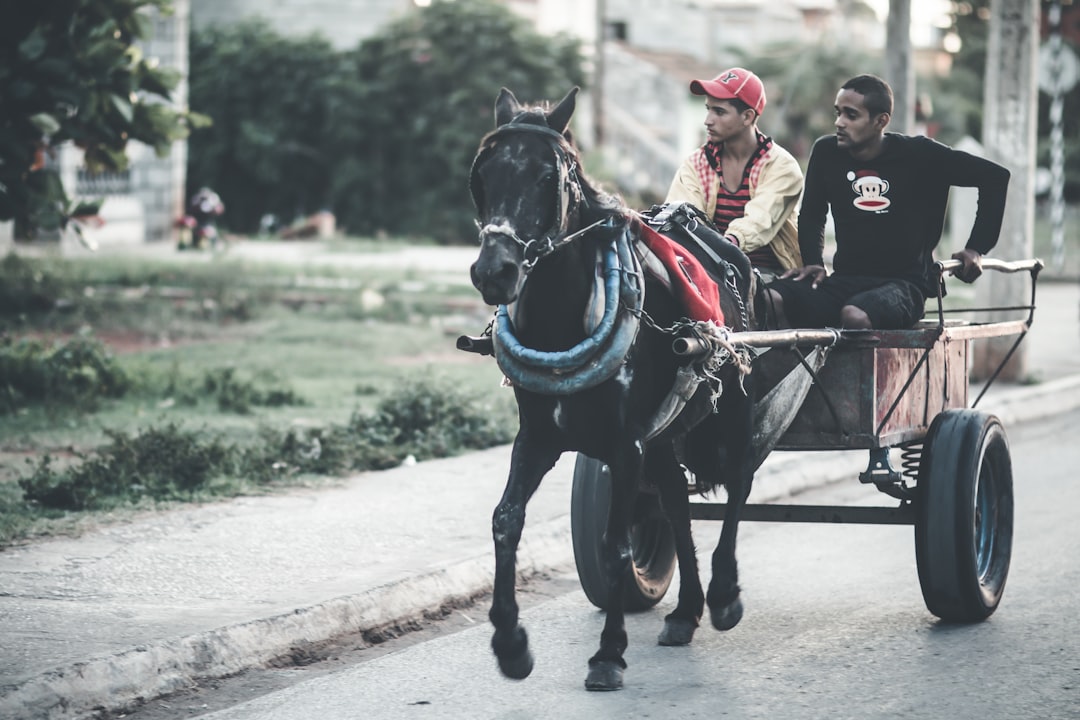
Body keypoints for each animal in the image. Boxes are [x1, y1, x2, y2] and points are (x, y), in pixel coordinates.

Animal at [468, 87, 756, 690]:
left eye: (547, 177)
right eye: (481, 176)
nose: (494, 271)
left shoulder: (626, 446)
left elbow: (617, 545)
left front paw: (608, 653)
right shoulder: (538, 437)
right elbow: (506, 522)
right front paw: (510, 642)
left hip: (735, 408)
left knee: (740, 480)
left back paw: (722, 594)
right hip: (665, 435)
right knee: (675, 501)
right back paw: (686, 610)